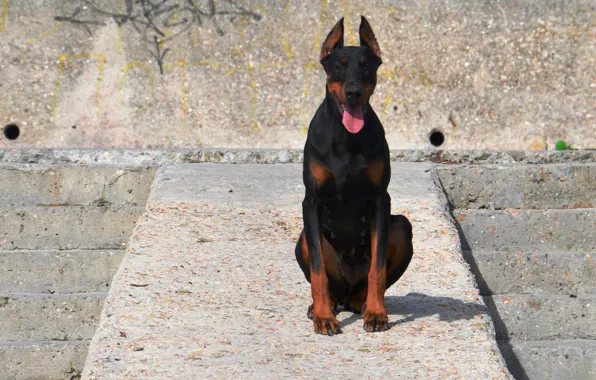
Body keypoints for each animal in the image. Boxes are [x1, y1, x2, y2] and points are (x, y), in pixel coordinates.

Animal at [294, 16, 414, 334]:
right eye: (339, 66)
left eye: (366, 66)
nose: (353, 92)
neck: (346, 137)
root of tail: (348, 291)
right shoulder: (312, 201)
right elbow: (318, 272)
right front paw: (324, 317)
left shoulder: (380, 199)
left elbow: (378, 268)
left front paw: (376, 313)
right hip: (303, 239)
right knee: (330, 283)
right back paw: (323, 306)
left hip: (402, 227)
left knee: (365, 284)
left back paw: (363, 304)